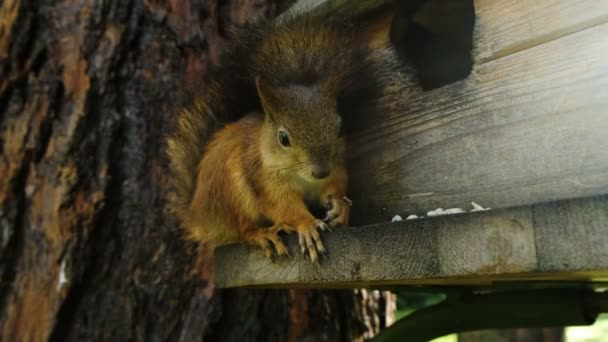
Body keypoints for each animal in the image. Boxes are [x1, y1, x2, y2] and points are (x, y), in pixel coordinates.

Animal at [166, 10, 404, 262]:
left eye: (339, 128)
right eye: (283, 138)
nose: (321, 171)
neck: (302, 177)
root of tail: (200, 216)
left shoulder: (336, 167)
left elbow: (336, 185)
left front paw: (341, 205)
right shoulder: (265, 181)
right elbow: (285, 206)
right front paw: (307, 225)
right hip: (231, 193)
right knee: (243, 230)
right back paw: (263, 234)